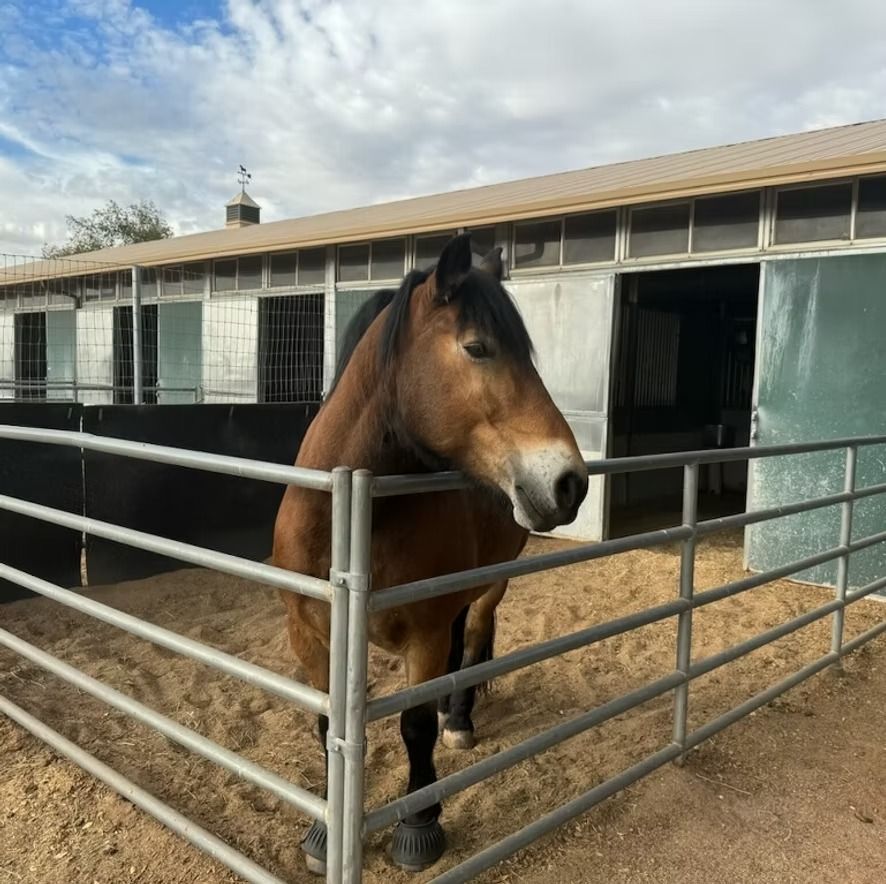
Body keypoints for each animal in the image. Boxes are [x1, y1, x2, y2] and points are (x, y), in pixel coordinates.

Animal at [272, 232, 589, 873]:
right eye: (477, 348)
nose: (570, 483)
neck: (351, 519)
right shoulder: (309, 633)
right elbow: (325, 725)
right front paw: (325, 832)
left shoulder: (424, 632)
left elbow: (414, 726)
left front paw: (419, 825)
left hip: (492, 582)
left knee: (474, 636)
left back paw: (459, 716)